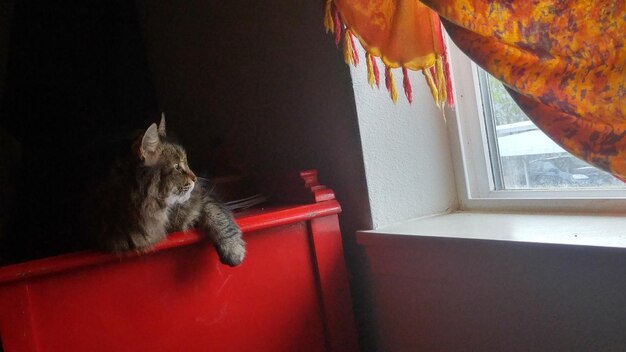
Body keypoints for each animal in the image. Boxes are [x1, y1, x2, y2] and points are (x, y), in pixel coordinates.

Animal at [88, 116, 244, 266]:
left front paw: (234, 251)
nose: (195, 178)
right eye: (177, 167)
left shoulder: (202, 197)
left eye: (186, 162)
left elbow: (219, 217)